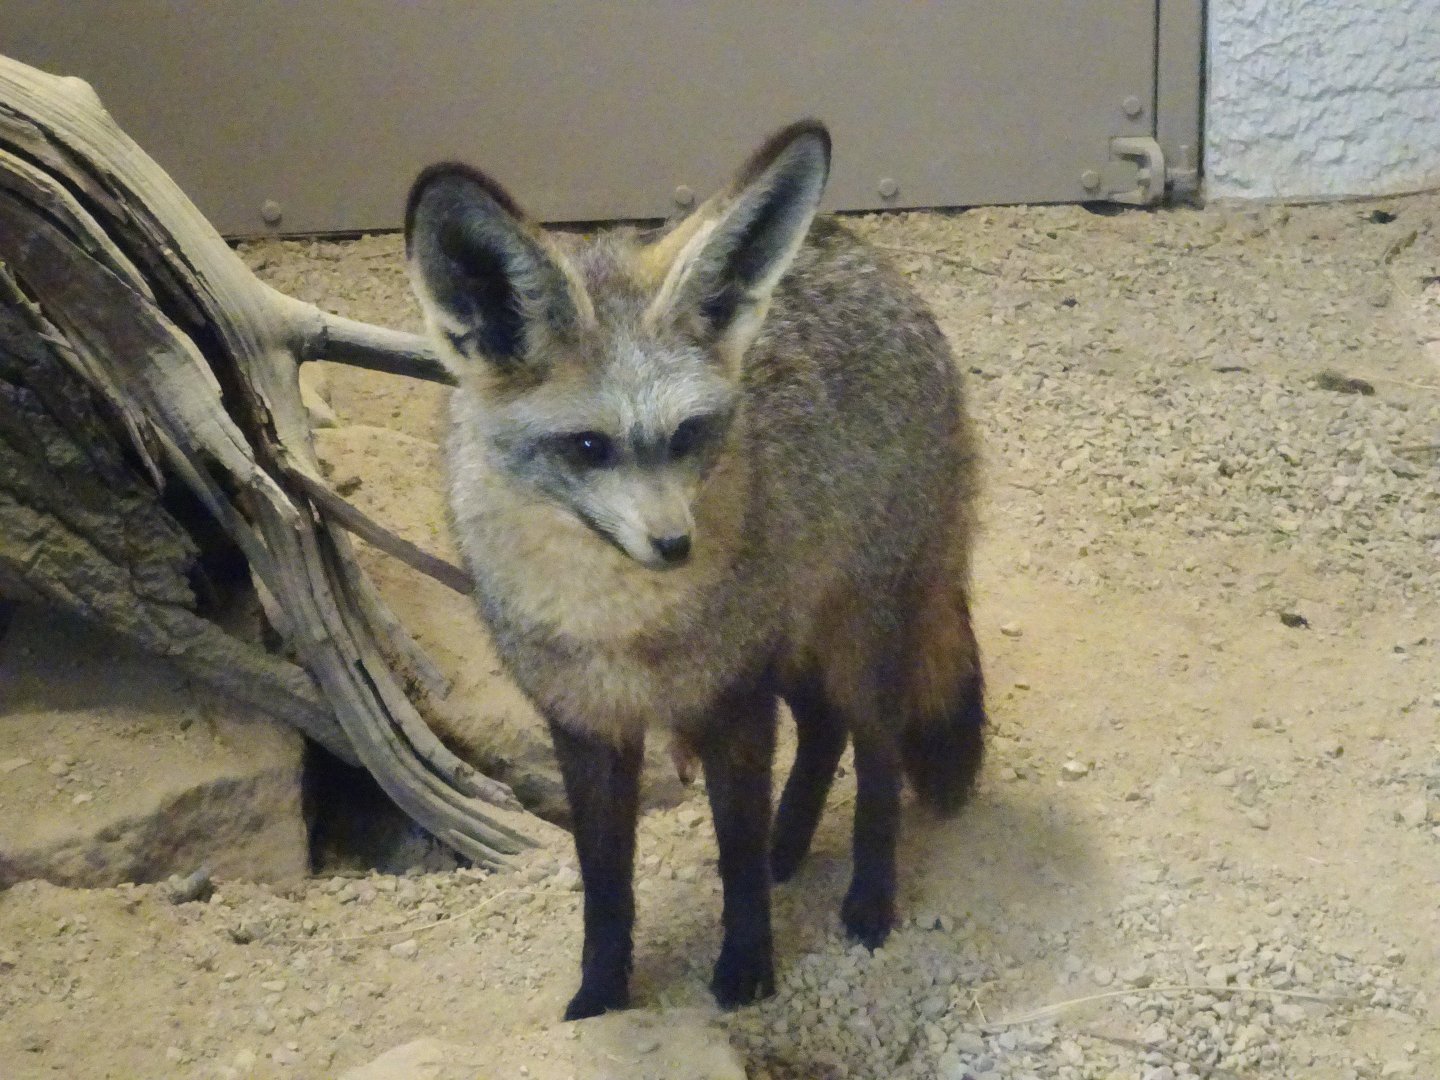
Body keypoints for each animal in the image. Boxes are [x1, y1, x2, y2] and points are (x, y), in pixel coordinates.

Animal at [404, 120, 985, 1021]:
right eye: (588, 447)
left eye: (688, 435)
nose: (674, 545)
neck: (616, 628)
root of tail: (863, 252)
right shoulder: (585, 727)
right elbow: (606, 888)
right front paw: (599, 994)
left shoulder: (731, 703)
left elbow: (737, 865)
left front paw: (746, 969)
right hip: (792, 645)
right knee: (824, 729)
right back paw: (792, 846)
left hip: (853, 644)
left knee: (875, 754)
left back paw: (867, 897)